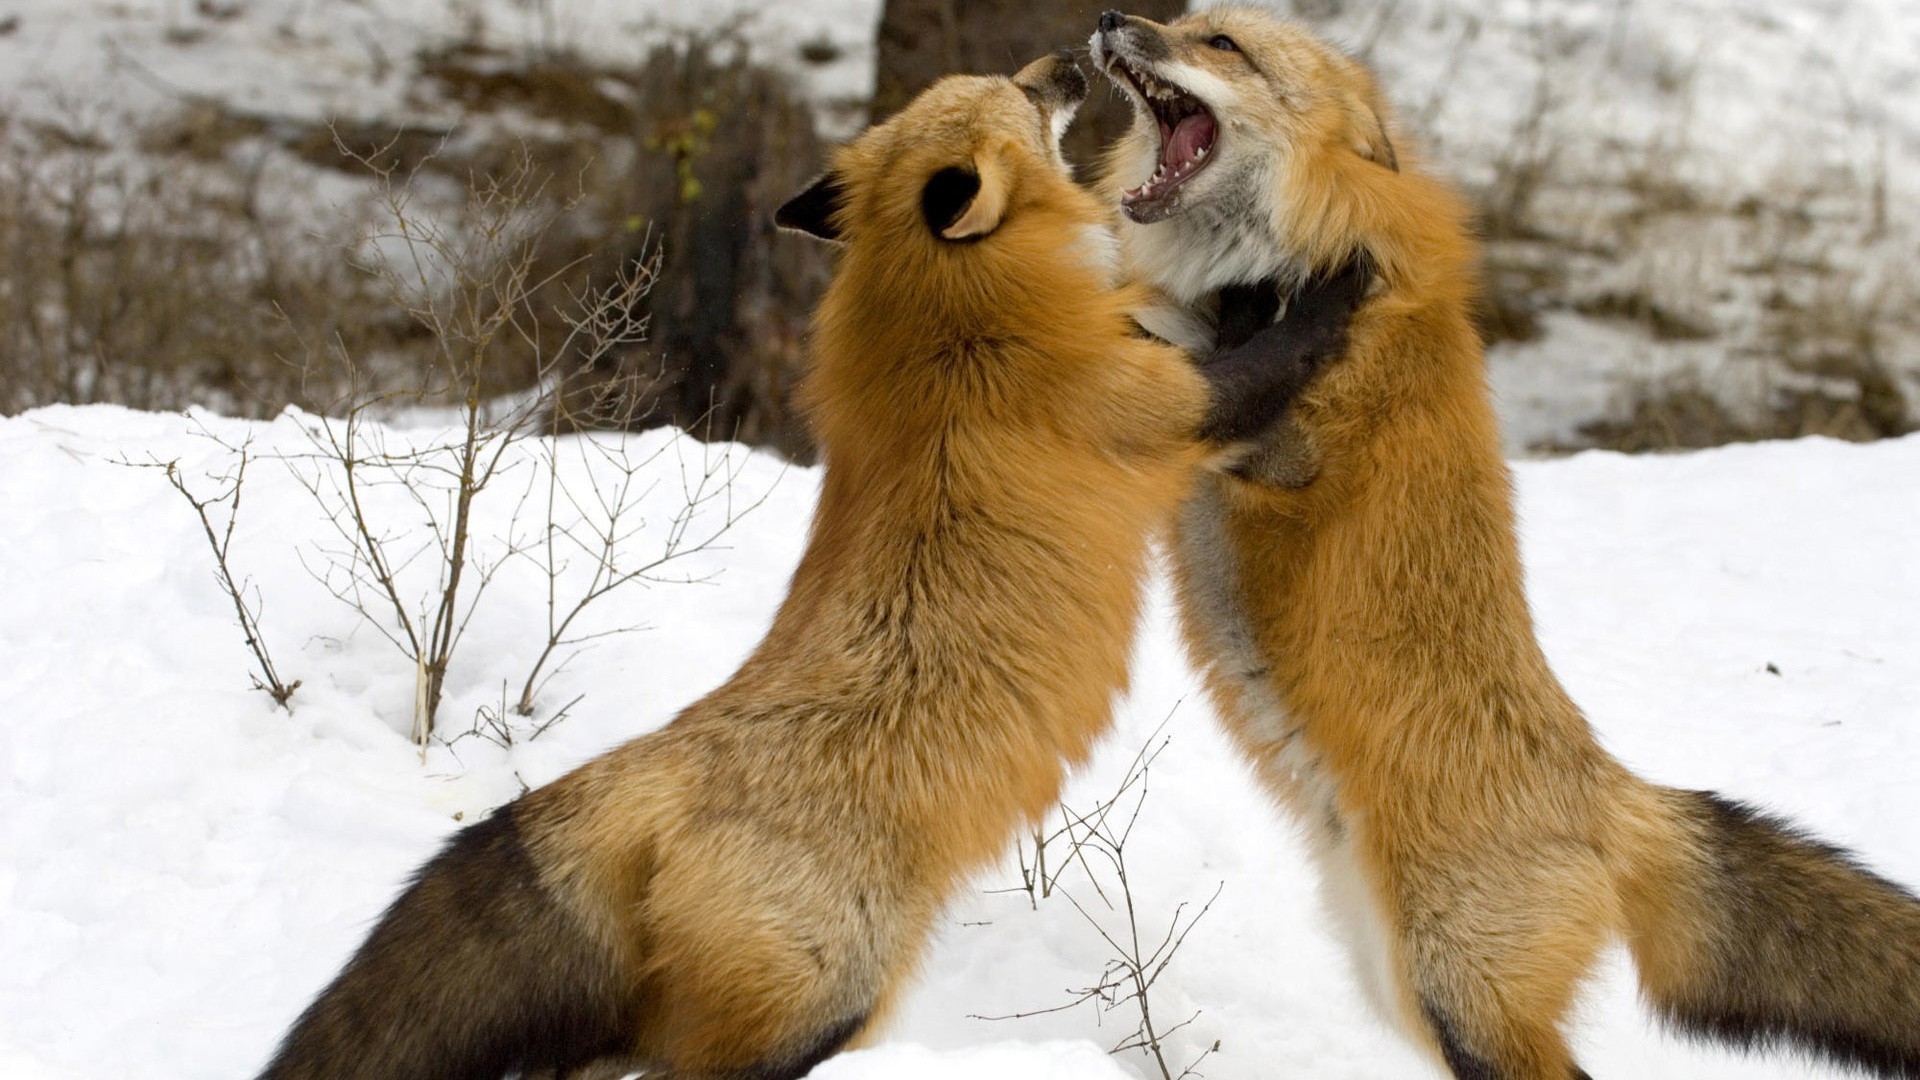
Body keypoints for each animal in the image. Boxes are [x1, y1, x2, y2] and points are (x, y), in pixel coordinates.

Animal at [259, 48, 1367, 1076]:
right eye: (1020, 93)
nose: (1068, 58)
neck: (948, 320)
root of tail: (647, 770)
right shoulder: (1164, 406)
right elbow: (1277, 352)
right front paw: (1330, 281)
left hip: (639, 1029)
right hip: (825, 1000)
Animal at [1098, 8, 1920, 1076]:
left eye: (1224, 46)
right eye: (1183, 22)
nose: (1112, 20)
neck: (1292, 260)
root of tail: (1613, 795)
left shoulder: (1277, 450)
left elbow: (1197, 360)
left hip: (1459, 993)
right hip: (1404, 983)